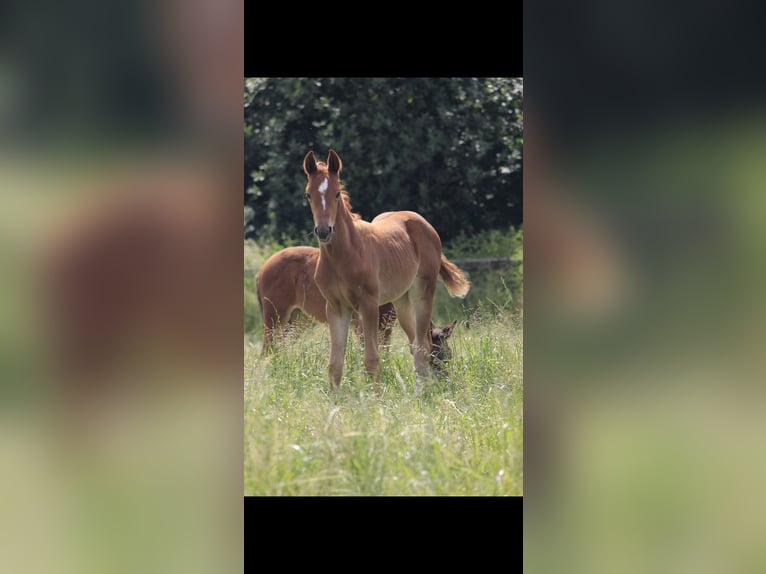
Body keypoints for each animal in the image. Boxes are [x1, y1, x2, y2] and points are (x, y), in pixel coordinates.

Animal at [304, 148, 472, 394]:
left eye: (336, 194)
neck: (344, 255)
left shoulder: (369, 304)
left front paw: (376, 399)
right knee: (415, 343)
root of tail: (423, 223)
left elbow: (372, 360)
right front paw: (334, 401)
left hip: (422, 291)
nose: (324, 231)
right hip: (401, 299)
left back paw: (422, 394)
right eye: (308, 195)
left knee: (423, 344)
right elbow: (334, 364)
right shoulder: (335, 307)